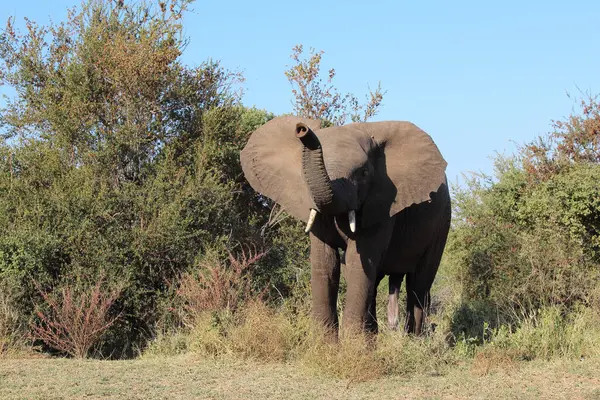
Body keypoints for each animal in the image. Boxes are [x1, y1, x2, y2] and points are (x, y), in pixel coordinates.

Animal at [239, 117, 450, 336]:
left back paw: (413, 340)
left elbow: (358, 262)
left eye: (364, 173)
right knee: (377, 283)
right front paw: (325, 342)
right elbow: (325, 262)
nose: (301, 129)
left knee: (419, 284)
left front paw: (352, 343)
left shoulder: (383, 204)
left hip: (442, 222)